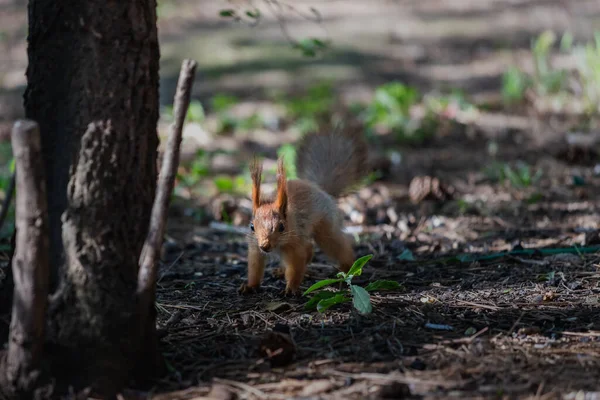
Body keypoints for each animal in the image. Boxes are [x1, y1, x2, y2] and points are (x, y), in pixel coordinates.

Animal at [238, 128, 368, 296]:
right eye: (252, 227)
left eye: (281, 227)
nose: (265, 245)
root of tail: (317, 187)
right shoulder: (255, 247)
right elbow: (255, 268)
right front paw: (250, 286)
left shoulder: (294, 246)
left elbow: (297, 267)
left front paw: (291, 288)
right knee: (309, 248)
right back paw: (281, 270)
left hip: (325, 227)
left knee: (334, 245)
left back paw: (348, 268)